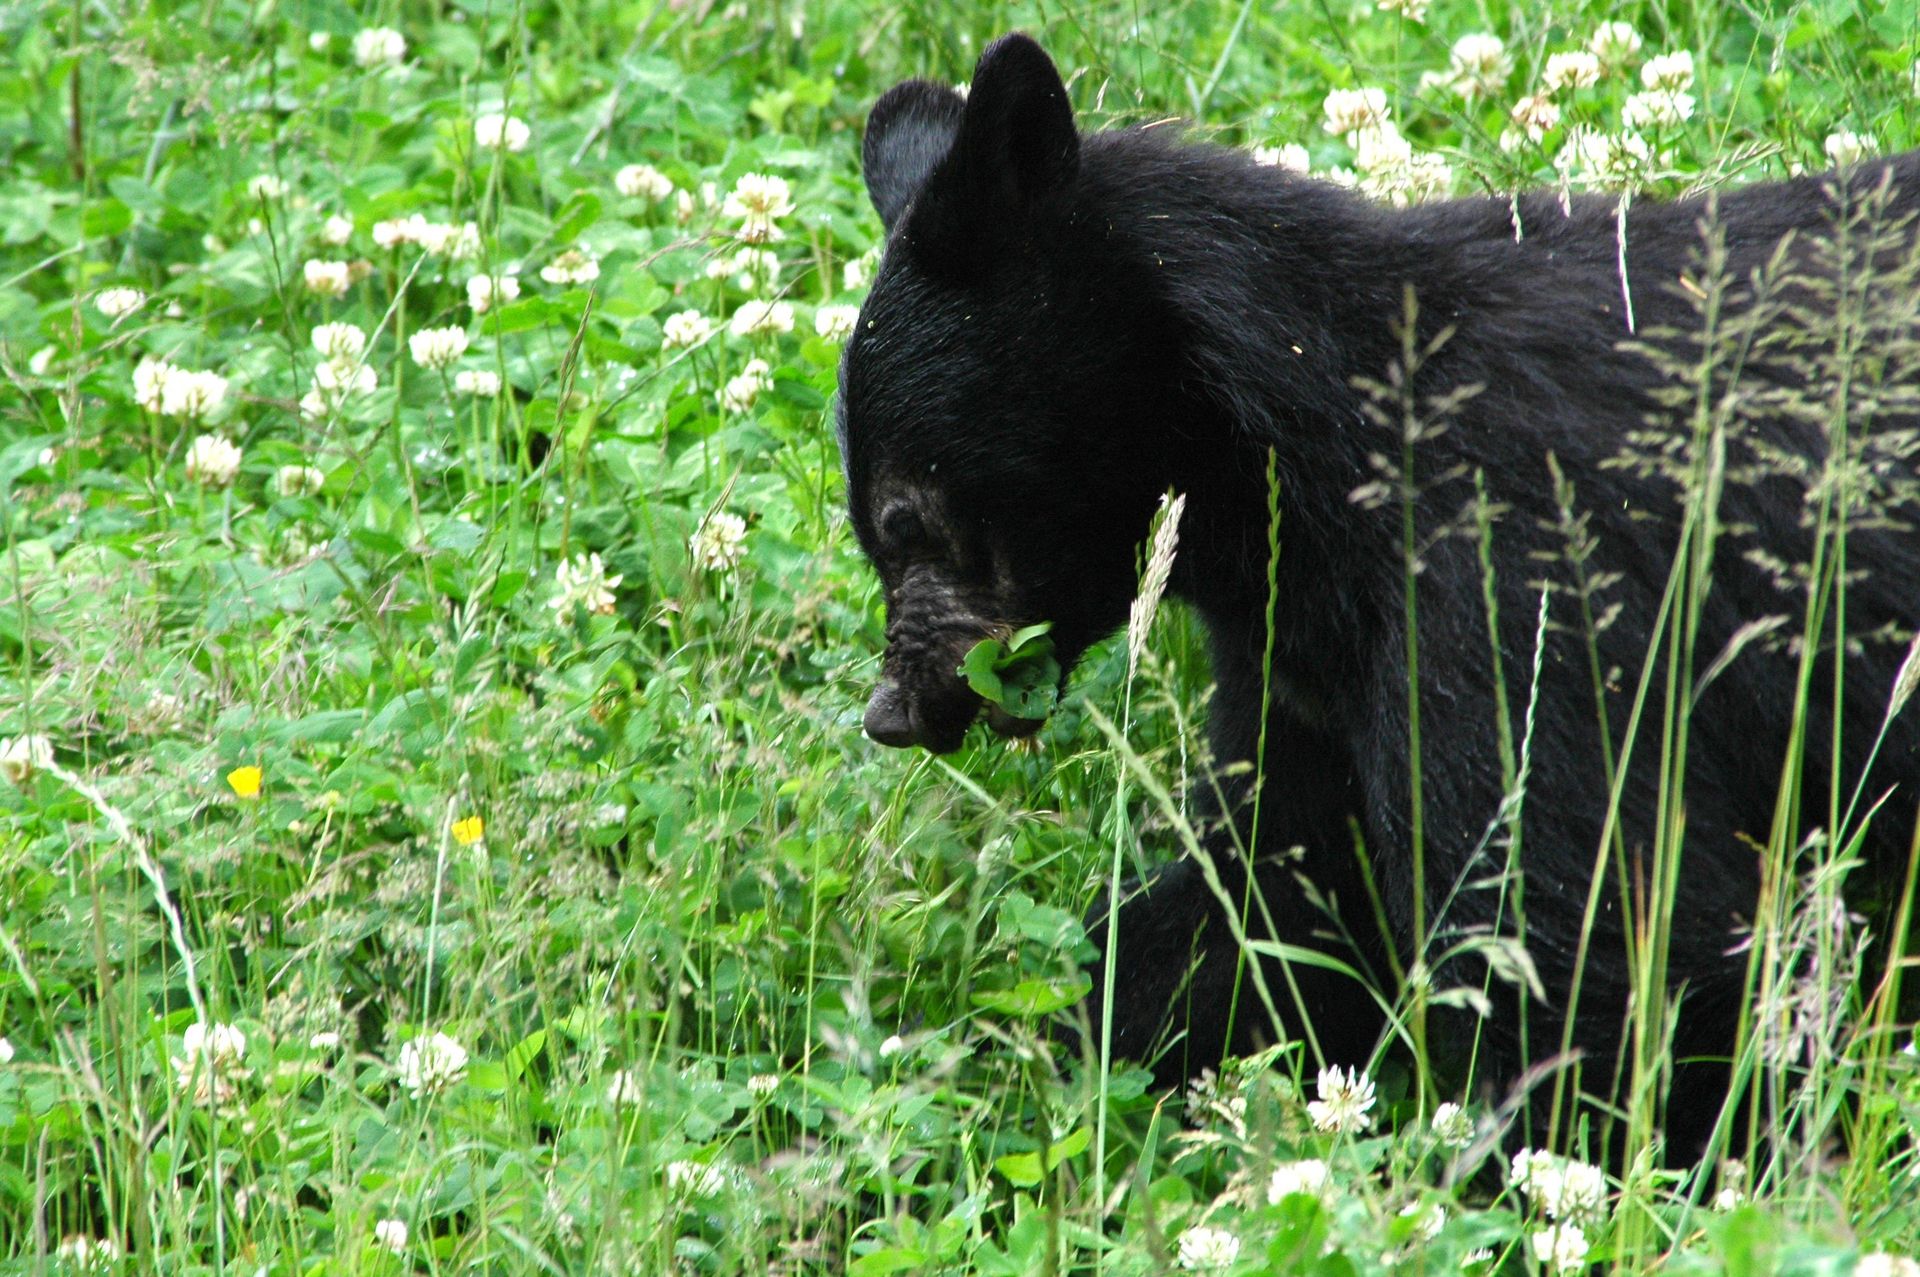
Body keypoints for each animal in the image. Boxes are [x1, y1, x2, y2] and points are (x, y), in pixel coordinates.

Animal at [838, 32, 1920, 1155]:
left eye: (904, 517)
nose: (892, 710)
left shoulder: (1513, 578)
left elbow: (1587, 922)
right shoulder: (1306, 639)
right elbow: (1280, 880)